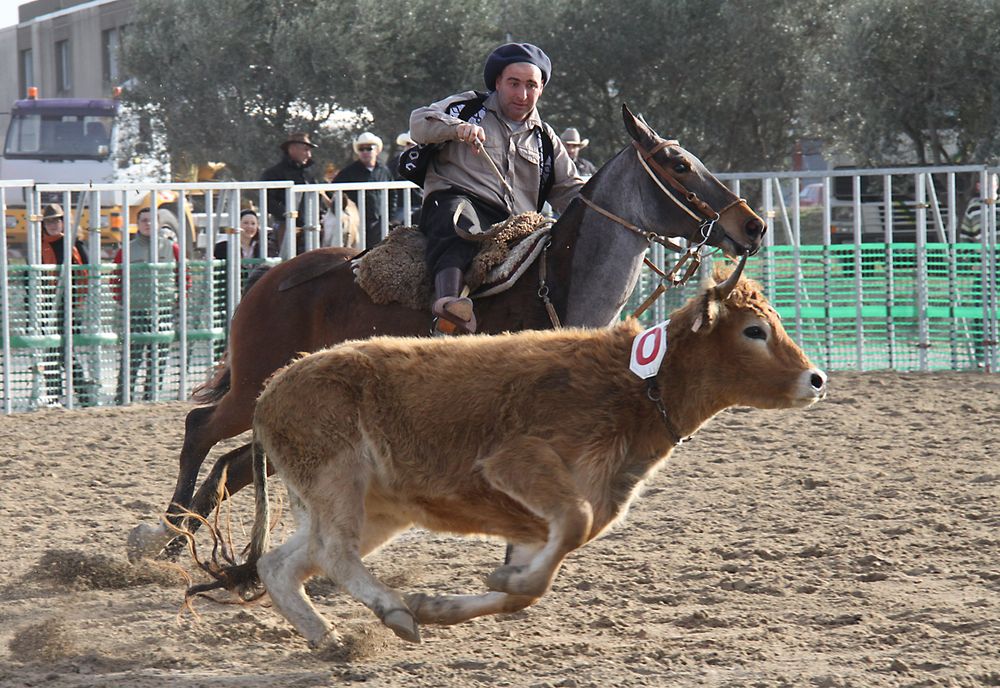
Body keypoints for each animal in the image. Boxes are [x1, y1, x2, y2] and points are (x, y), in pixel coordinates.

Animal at [125, 105, 764, 560]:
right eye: (678, 165)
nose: (752, 225)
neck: (553, 282)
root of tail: (270, 277)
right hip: (251, 386)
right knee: (199, 429)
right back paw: (169, 530)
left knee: (235, 463)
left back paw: (181, 538)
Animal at [209, 260, 820, 648]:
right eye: (755, 330)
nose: (816, 379)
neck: (635, 384)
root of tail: (271, 390)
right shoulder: (519, 466)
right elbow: (566, 531)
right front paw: (457, 596)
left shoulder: (534, 527)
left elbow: (525, 588)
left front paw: (445, 604)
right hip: (339, 478)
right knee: (334, 554)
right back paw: (393, 611)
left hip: (371, 506)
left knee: (282, 563)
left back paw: (329, 638)